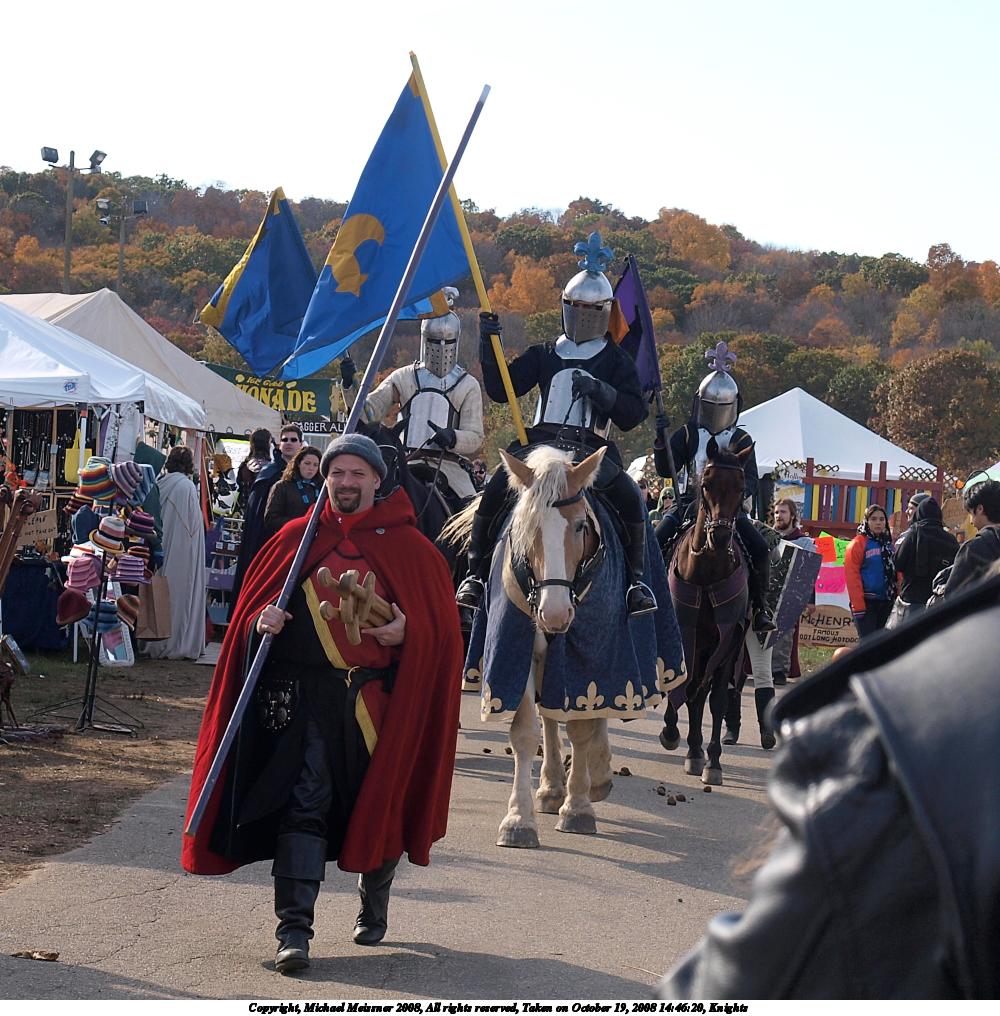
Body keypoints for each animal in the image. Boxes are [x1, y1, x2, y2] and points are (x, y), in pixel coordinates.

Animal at [661, 439, 752, 787]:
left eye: (741, 487)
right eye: (707, 485)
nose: (720, 537)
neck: (707, 572)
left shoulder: (729, 642)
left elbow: (717, 700)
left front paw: (712, 760)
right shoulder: (686, 637)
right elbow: (684, 687)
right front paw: (671, 733)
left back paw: (697, 751)